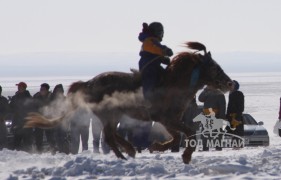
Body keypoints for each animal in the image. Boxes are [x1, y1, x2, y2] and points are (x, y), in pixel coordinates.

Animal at [25, 41, 232, 163]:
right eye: (214, 67)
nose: (230, 83)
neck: (174, 83)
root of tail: (89, 83)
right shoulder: (166, 119)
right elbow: (188, 133)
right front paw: (186, 155)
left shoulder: (169, 120)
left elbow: (177, 136)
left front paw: (157, 146)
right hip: (109, 113)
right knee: (109, 135)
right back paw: (124, 155)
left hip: (114, 114)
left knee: (111, 134)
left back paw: (129, 150)